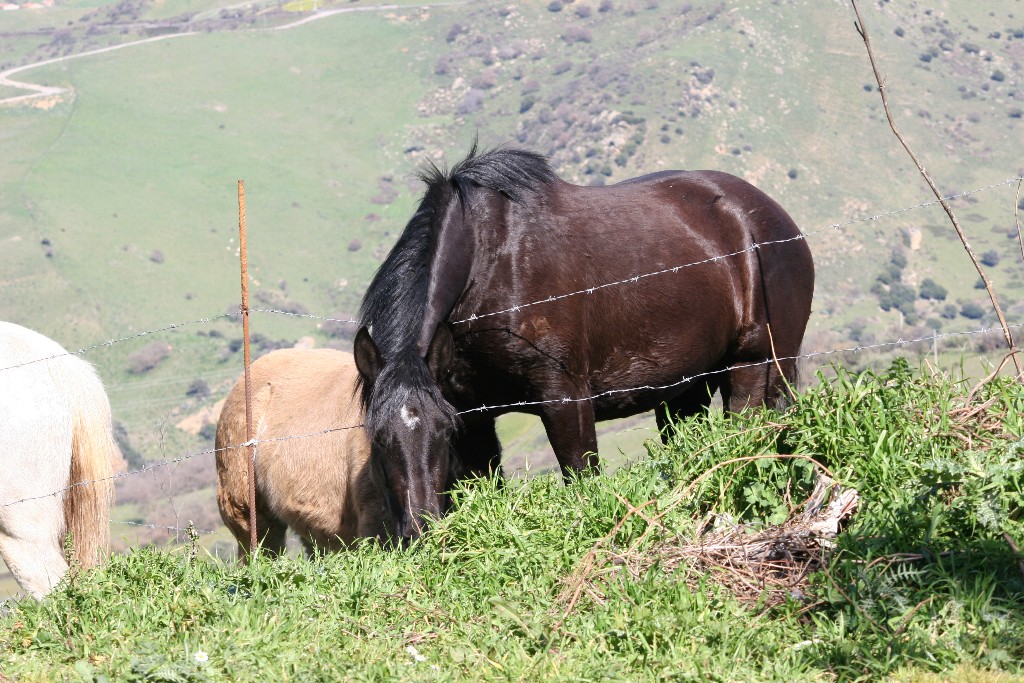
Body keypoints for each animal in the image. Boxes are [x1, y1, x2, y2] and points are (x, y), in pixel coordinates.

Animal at [354, 145, 815, 544]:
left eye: (441, 432)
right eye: (378, 438)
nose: (419, 531)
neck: (487, 265)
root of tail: (770, 217)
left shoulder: (564, 399)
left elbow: (581, 480)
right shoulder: (474, 416)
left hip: (757, 365)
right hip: (687, 389)